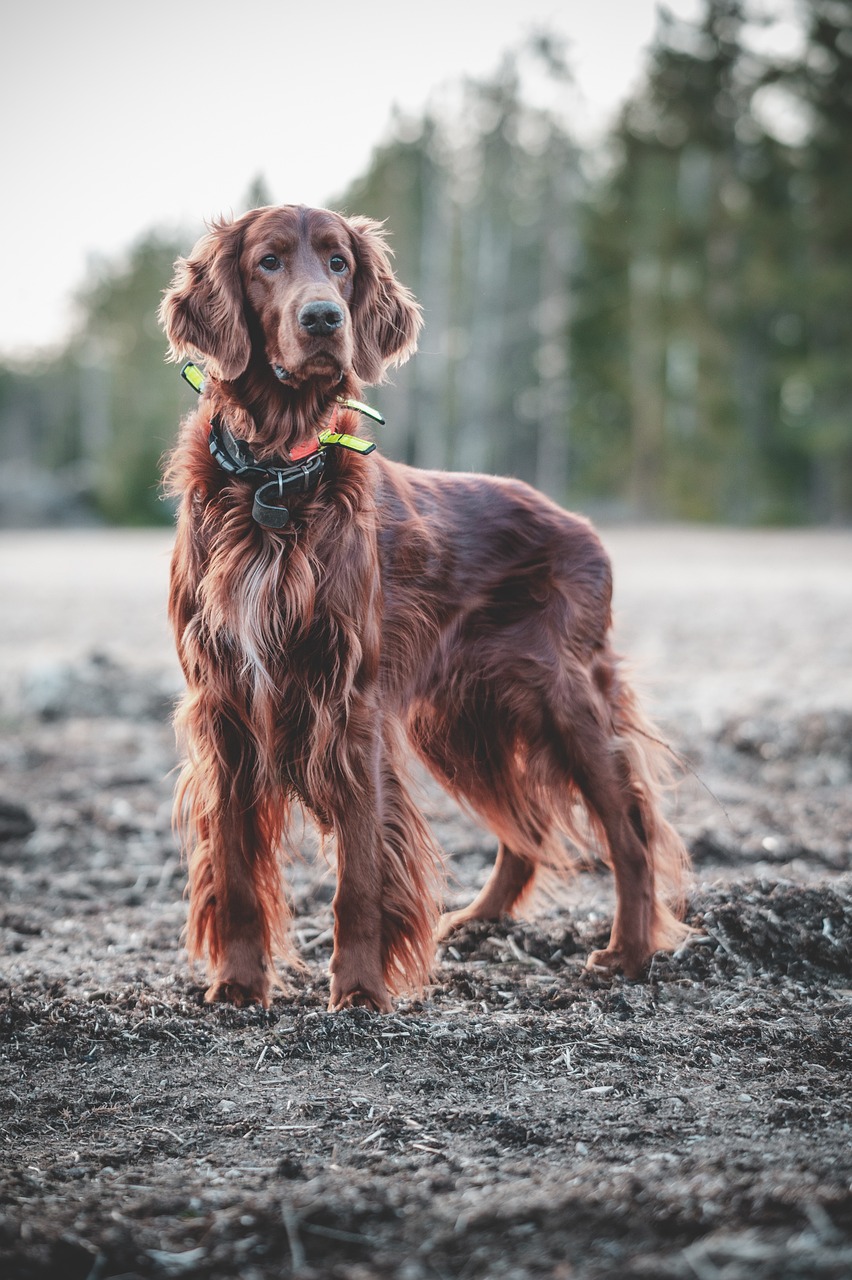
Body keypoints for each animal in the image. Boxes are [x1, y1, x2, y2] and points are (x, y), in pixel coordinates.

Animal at [161, 202, 690, 1008]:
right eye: (268, 262)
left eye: (340, 263)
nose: (324, 319)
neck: (274, 481)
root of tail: (580, 525)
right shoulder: (222, 702)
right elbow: (236, 867)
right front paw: (239, 988)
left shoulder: (349, 703)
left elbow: (359, 872)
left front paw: (358, 994)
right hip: (462, 720)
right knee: (525, 832)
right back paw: (475, 921)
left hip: (562, 699)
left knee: (628, 829)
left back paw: (626, 952)